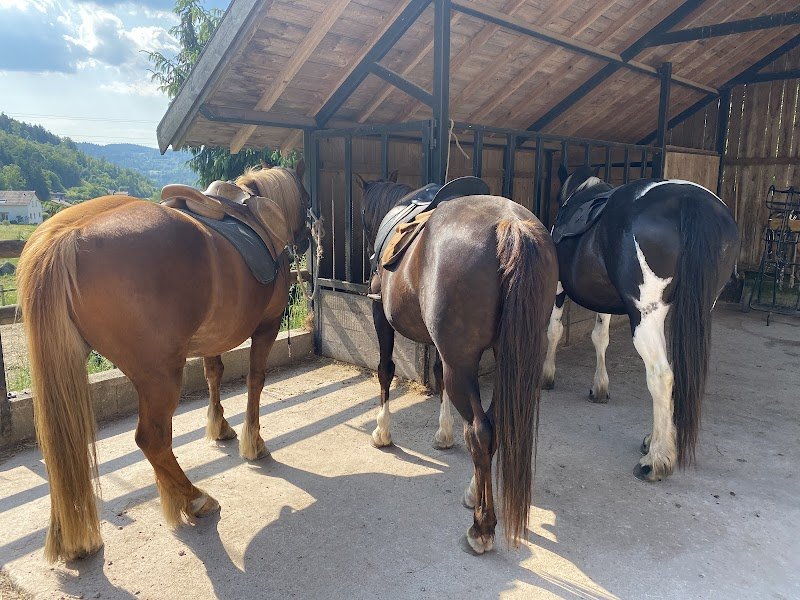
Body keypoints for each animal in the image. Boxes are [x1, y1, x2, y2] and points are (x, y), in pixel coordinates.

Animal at [17, 163, 312, 562]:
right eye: (307, 198)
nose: (309, 240)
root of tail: (69, 235)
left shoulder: (212, 340)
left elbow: (214, 375)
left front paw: (220, 428)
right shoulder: (266, 328)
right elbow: (255, 381)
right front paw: (254, 442)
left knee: (65, 448)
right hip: (159, 377)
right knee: (152, 439)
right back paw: (194, 499)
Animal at [358, 175, 558, 553]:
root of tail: (511, 226)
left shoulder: (381, 315)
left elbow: (385, 370)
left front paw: (382, 431)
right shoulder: (442, 348)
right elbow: (436, 376)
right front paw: (443, 434)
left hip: (462, 362)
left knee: (480, 432)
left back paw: (482, 527)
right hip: (508, 361)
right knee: (494, 427)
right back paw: (473, 494)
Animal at [542, 165, 739, 482]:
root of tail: (691, 202)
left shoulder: (559, 288)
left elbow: (555, 331)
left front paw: (546, 376)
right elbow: (600, 337)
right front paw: (599, 387)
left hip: (646, 317)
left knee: (662, 375)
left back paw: (656, 460)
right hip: (697, 310)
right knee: (680, 372)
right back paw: (659, 440)